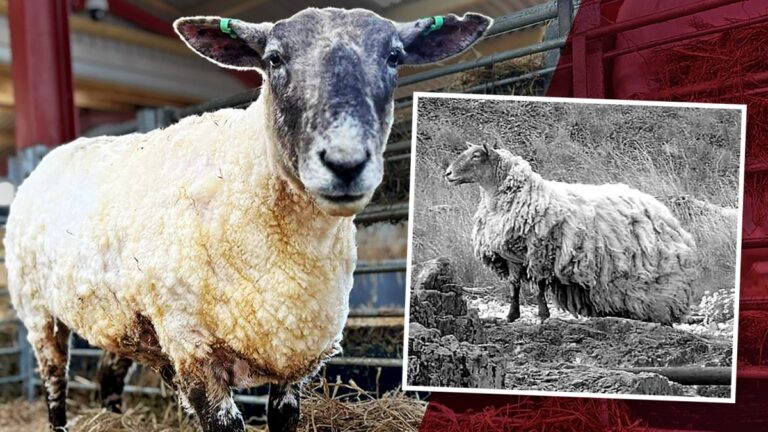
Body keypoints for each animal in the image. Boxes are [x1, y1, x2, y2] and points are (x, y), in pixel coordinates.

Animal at [5, 9, 491, 432]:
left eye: (393, 57)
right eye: (273, 59)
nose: (345, 162)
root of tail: (52, 156)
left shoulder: (291, 350)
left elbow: (285, 418)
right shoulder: (192, 345)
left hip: (124, 318)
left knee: (109, 375)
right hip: (38, 310)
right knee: (54, 382)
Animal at [444, 142, 698, 326]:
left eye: (476, 155)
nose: (448, 173)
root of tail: (664, 212)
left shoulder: (541, 252)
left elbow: (540, 286)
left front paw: (543, 315)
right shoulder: (510, 255)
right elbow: (514, 286)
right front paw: (511, 315)